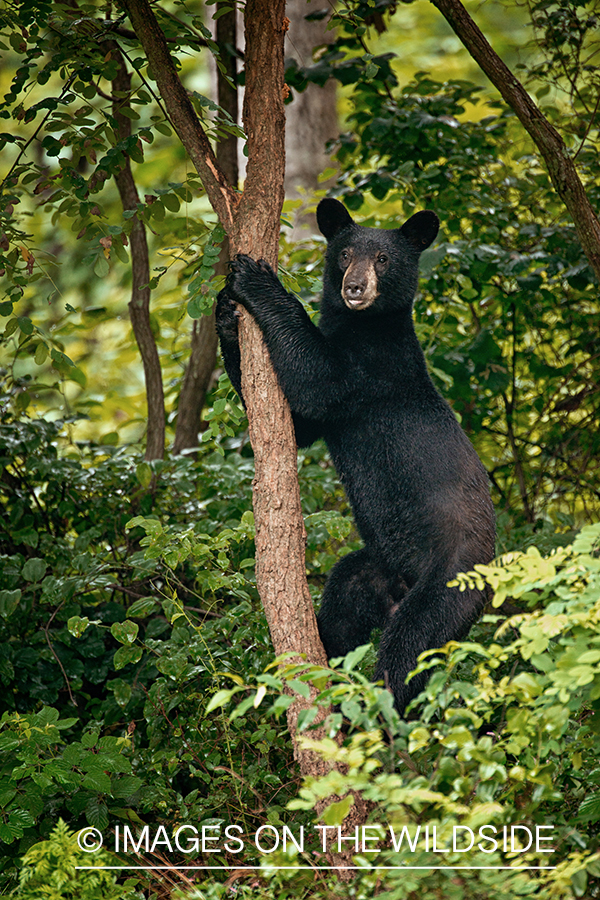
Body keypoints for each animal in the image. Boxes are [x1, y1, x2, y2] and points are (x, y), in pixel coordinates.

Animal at [216, 200, 496, 712]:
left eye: (383, 259)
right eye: (345, 253)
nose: (355, 287)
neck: (364, 324)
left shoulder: (371, 369)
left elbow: (316, 377)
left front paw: (257, 280)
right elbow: (299, 424)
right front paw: (226, 313)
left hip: (450, 583)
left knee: (409, 650)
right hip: (374, 569)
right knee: (344, 601)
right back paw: (325, 660)